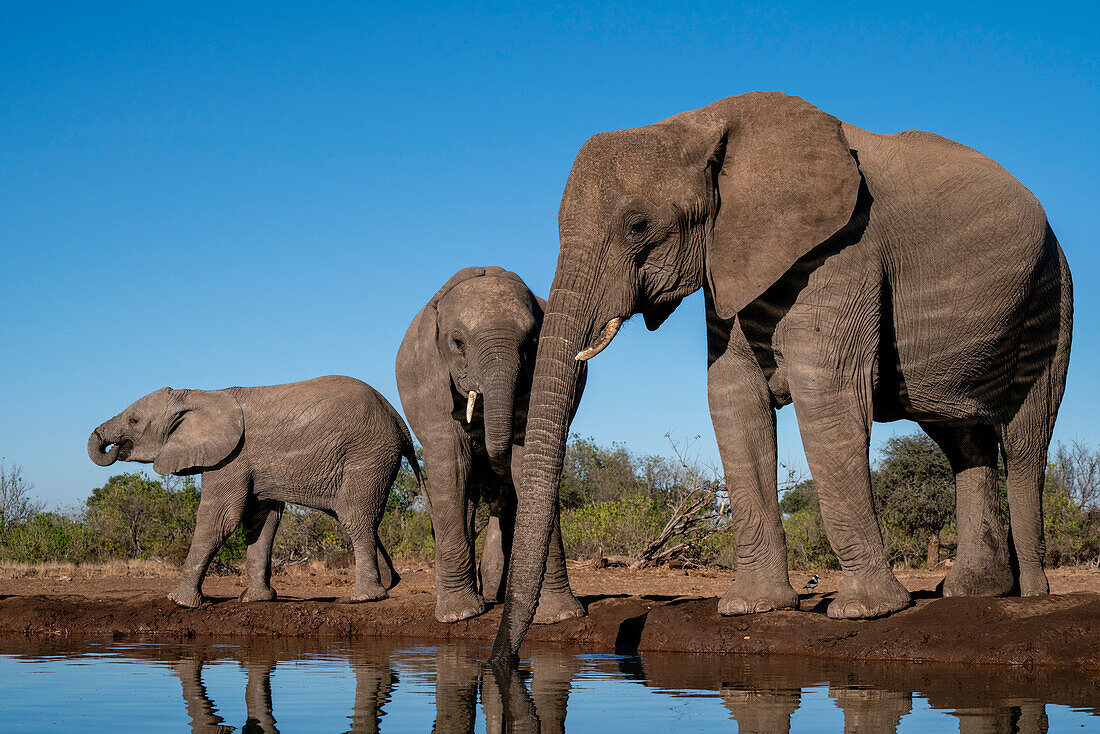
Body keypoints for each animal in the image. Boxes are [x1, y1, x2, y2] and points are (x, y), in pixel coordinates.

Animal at [84, 376, 420, 607]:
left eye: (134, 420)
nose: (112, 447)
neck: (198, 394)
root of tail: (398, 419)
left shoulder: (231, 457)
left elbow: (219, 520)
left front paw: (179, 601)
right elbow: (262, 522)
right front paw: (256, 600)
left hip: (367, 456)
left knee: (354, 516)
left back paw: (364, 598)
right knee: (352, 516)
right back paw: (389, 584)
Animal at [393, 267, 585, 625]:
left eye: (533, 342)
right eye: (457, 342)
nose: (488, 449)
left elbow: (526, 462)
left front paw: (561, 616)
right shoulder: (426, 380)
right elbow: (452, 462)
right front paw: (460, 615)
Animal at [492, 90, 1073, 660]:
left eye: (638, 226)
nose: (503, 659)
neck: (701, 123)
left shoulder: (845, 247)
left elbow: (825, 395)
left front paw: (864, 612)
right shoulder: (730, 259)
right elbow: (733, 398)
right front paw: (752, 608)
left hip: (1052, 296)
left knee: (1026, 439)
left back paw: (1030, 595)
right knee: (961, 437)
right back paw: (977, 591)